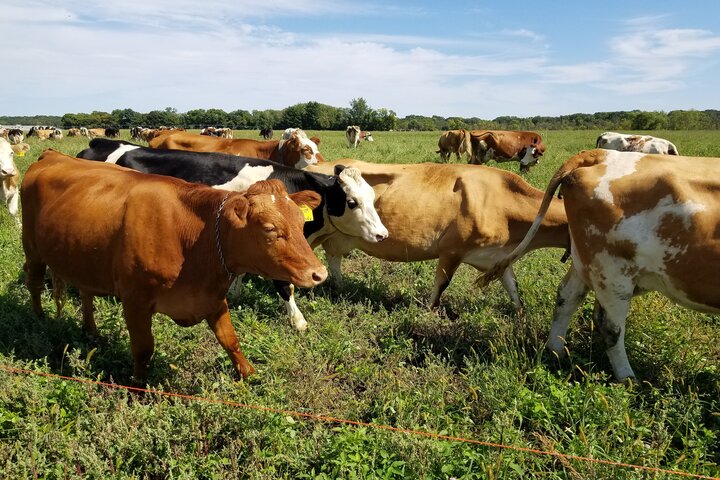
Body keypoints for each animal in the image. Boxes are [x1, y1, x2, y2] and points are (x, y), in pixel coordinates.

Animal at [77, 138, 388, 330]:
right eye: (351, 202)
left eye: (372, 197)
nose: (382, 234)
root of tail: (98, 144)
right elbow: (284, 286)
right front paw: (298, 321)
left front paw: (235, 293)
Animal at [308, 159, 568, 310]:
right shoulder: (451, 250)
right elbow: (441, 284)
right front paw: (428, 312)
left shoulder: (498, 257)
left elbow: (514, 288)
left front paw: (520, 316)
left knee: (334, 260)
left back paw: (340, 288)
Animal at [478, 148, 720, 380]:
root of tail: (600, 154)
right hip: (612, 273)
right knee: (610, 328)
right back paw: (627, 379)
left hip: (587, 262)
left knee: (567, 297)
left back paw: (555, 351)